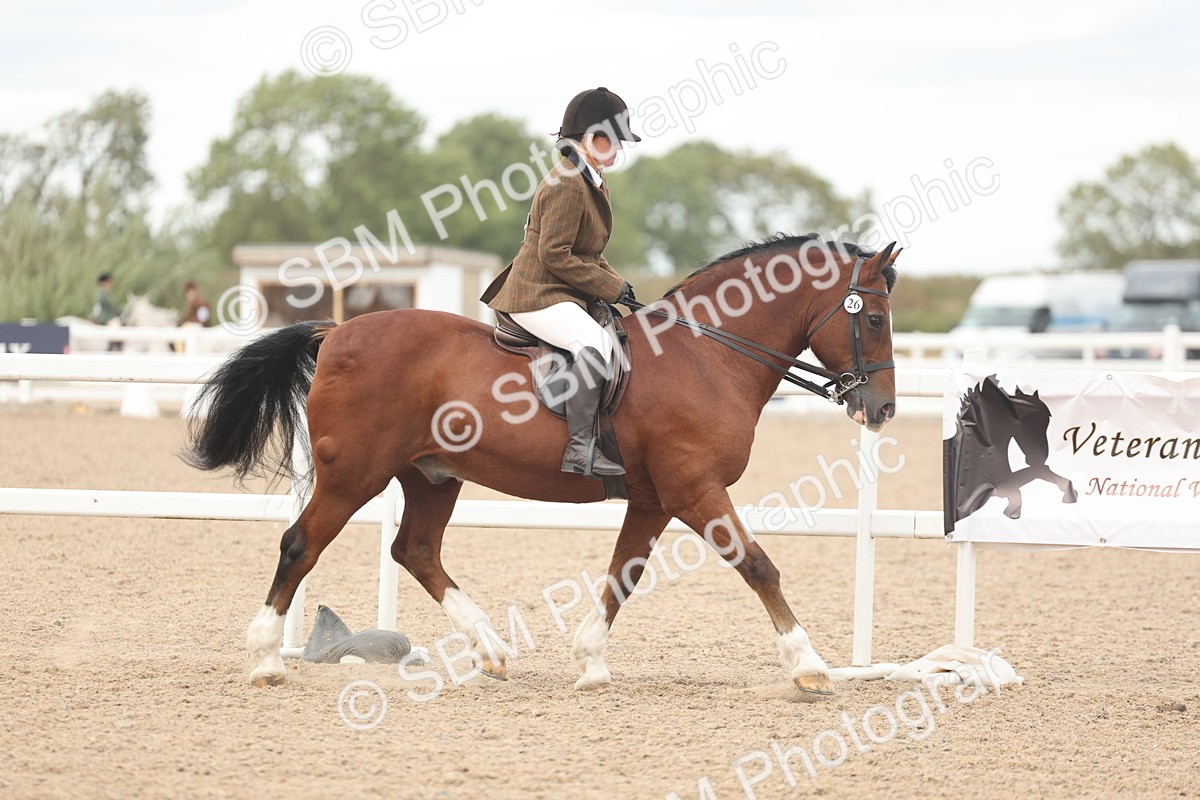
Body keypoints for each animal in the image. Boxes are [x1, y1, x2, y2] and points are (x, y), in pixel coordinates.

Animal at [185, 234, 900, 699]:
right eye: (875, 317)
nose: (883, 408)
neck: (705, 355)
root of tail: (337, 331)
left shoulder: (655, 499)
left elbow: (623, 575)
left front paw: (590, 664)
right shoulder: (695, 490)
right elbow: (758, 565)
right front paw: (809, 666)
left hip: (432, 474)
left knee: (415, 549)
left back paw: (491, 650)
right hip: (353, 475)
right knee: (300, 544)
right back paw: (266, 659)